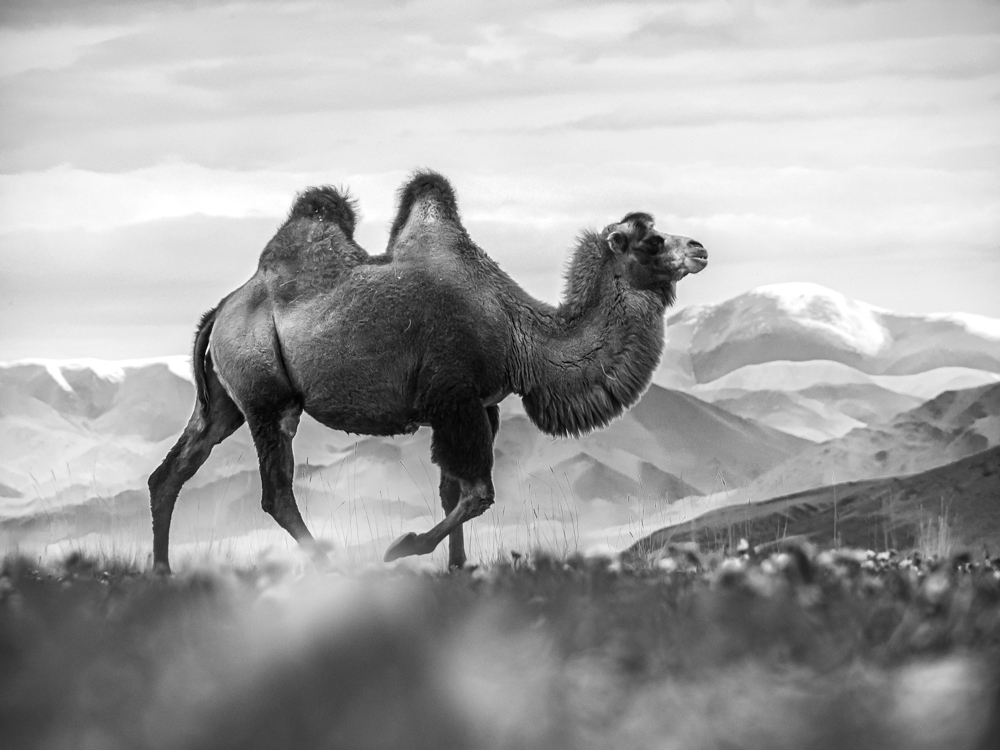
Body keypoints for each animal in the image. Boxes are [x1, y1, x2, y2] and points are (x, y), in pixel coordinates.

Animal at [148, 171, 708, 572]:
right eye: (651, 240)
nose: (700, 248)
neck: (517, 334)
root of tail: (222, 309)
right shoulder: (455, 397)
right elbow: (479, 493)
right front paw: (403, 547)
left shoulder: (479, 405)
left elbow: (452, 492)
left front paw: (459, 568)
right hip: (268, 397)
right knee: (276, 492)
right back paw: (330, 563)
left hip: (224, 400)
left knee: (172, 470)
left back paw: (163, 570)